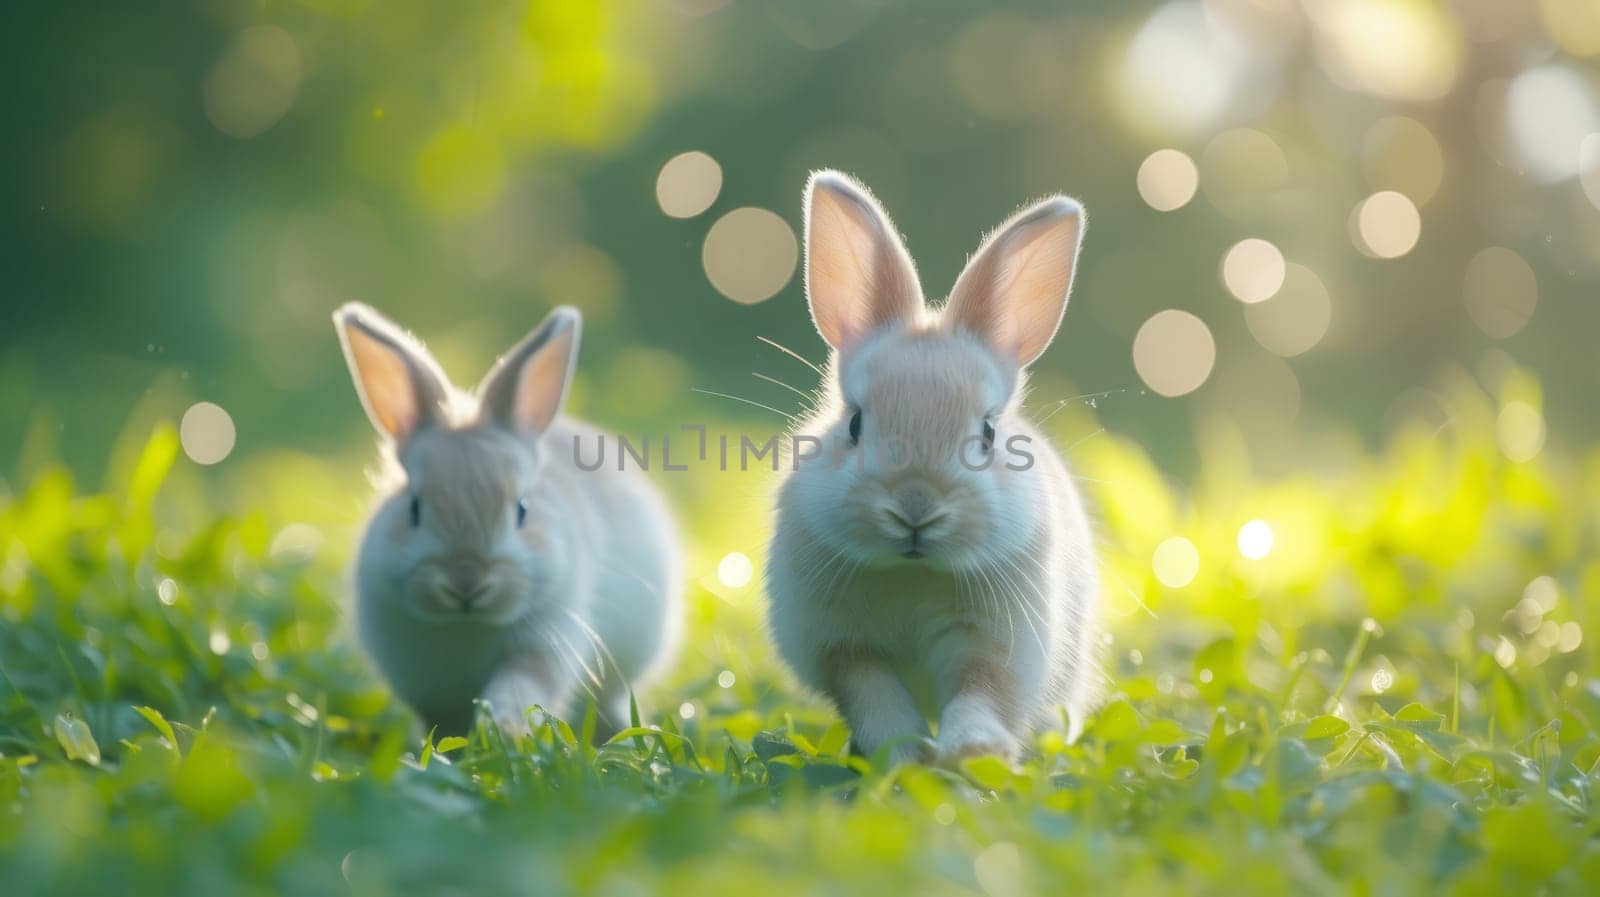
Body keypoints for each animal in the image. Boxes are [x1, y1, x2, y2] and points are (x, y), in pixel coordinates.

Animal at [334, 303, 684, 738]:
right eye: (413, 508)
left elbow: (518, 686)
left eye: (522, 510)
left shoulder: (543, 645)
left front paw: (504, 730)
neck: (467, 624)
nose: (466, 582)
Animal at [764, 171, 1100, 767]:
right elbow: (875, 697)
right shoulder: (845, 647)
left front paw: (975, 751)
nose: (915, 507)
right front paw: (906, 757)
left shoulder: (992, 643)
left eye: (987, 432)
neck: (912, 570)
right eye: (855, 424)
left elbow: (979, 690)